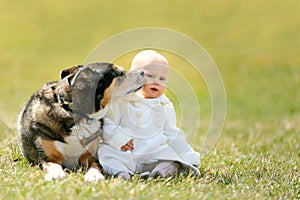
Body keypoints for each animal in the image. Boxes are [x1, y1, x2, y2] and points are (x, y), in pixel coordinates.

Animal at [17, 62, 145, 181]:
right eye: (119, 74)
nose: (143, 72)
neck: (76, 113)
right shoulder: (48, 158)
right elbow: (53, 165)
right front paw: (56, 174)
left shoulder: (90, 156)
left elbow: (95, 166)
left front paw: (94, 176)